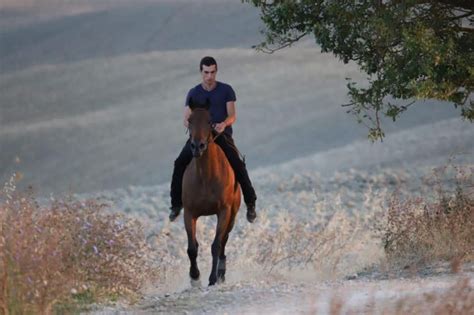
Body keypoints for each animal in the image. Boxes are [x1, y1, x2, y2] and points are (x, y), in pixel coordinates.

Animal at [181, 98, 241, 286]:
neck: (205, 177)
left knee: (224, 241)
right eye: (190, 120)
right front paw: (194, 277)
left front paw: (213, 278)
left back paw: (221, 273)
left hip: (232, 215)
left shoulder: (223, 211)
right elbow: (192, 248)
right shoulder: (189, 213)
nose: (197, 146)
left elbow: (216, 245)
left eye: (209, 121)